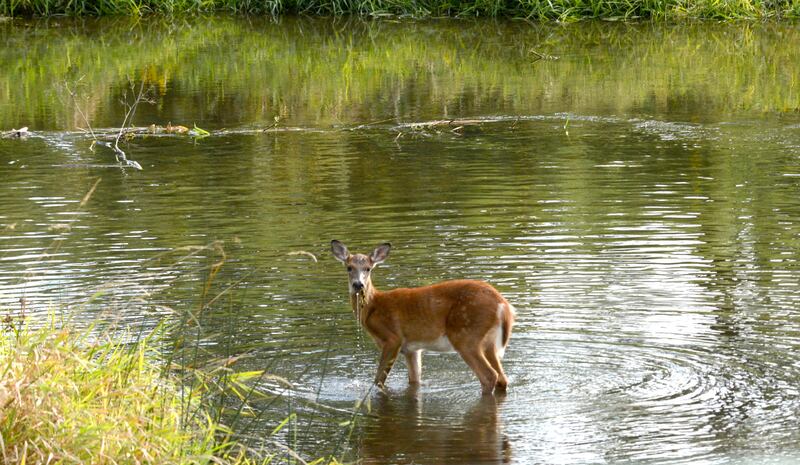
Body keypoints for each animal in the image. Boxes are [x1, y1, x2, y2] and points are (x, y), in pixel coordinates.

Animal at [331, 240, 515, 395]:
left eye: (368, 268)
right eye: (349, 267)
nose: (358, 285)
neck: (373, 306)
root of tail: (503, 305)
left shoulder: (392, 338)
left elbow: (378, 380)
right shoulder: (411, 349)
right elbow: (414, 380)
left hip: (466, 335)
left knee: (489, 376)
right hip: (488, 343)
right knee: (502, 379)